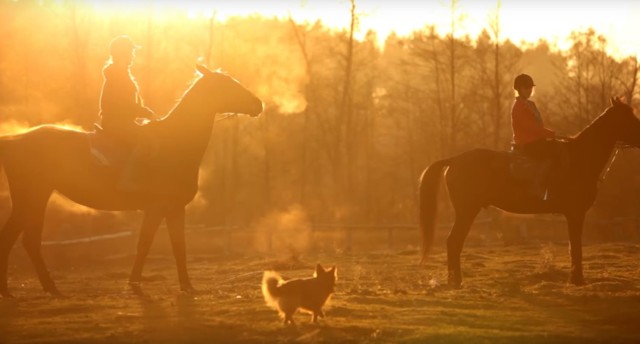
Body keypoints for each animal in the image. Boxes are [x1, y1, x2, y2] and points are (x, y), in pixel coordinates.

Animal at [0, 65, 262, 298]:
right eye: (228, 84)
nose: (258, 104)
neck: (175, 143)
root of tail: (13, 140)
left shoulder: (175, 209)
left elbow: (179, 247)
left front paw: (187, 286)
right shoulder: (156, 209)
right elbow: (145, 244)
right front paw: (135, 284)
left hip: (32, 198)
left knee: (19, 239)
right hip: (34, 197)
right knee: (24, 240)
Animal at [418, 97, 640, 288]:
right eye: (628, 117)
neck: (579, 158)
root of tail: (454, 160)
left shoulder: (574, 215)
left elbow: (574, 246)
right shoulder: (575, 214)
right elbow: (575, 247)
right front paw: (577, 280)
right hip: (467, 211)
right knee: (453, 242)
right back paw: (456, 281)